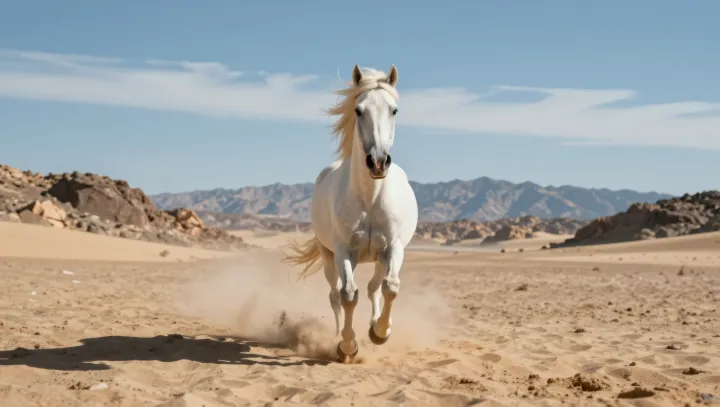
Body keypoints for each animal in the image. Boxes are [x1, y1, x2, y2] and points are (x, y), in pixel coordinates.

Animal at [282, 64, 419, 361]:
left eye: (394, 110)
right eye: (358, 110)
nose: (378, 162)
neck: (370, 198)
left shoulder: (393, 248)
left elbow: (391, 287)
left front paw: (380, 332)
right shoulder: (343, 250)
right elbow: (347, 295)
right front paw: (347, 345)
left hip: (378, 257)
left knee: (374, 288)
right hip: (330, 256)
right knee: (336, 295)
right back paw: (337, 335)